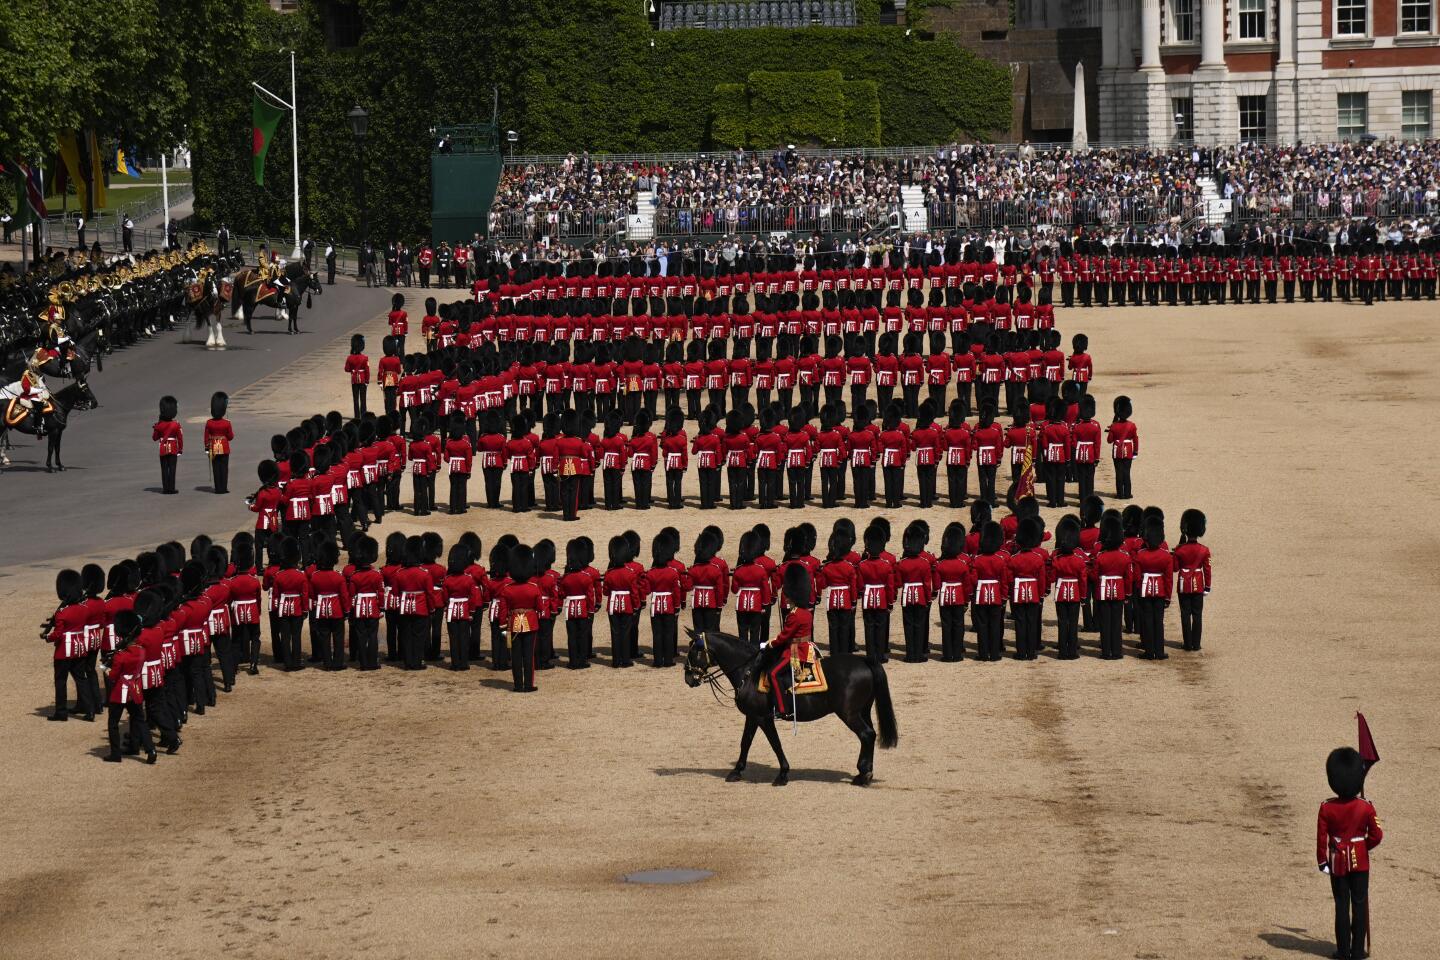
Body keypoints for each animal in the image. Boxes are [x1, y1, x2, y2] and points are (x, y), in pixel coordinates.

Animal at [679, 630, 892, 788]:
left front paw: (782, 774)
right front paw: (737, 771)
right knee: (870, 735)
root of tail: (863, 660)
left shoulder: (763, 717)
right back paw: (864, 773)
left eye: (694, 651)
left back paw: (863, 776)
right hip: (862, 711)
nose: (688, 679)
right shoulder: (752, 716)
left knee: (866, 735)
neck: (749, 672)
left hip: (849, 714)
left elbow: (775, 743)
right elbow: (745, 742)